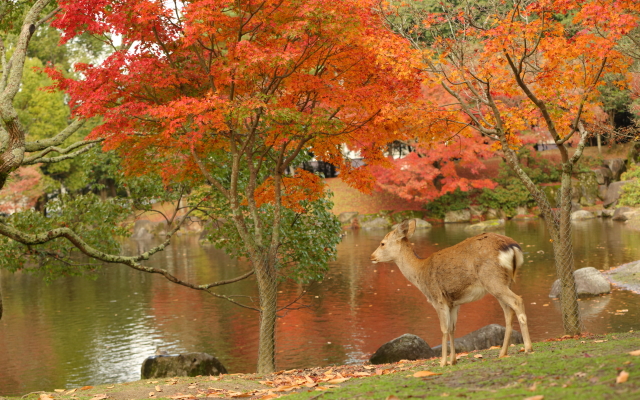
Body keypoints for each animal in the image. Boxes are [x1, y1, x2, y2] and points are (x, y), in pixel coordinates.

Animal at [368, 219, 532, 366]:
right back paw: (502, 353)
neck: (420, 272)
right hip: (504, 281)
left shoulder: (437, 298)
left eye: (382, 243)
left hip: (492, 279)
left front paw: (443, 362)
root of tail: (512, 247)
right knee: (508, 312)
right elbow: (453, 329)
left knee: (517, 301)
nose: (372, 256)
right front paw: (453, 360)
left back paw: (528, 348)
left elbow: (444, 329)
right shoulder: (454, 302)